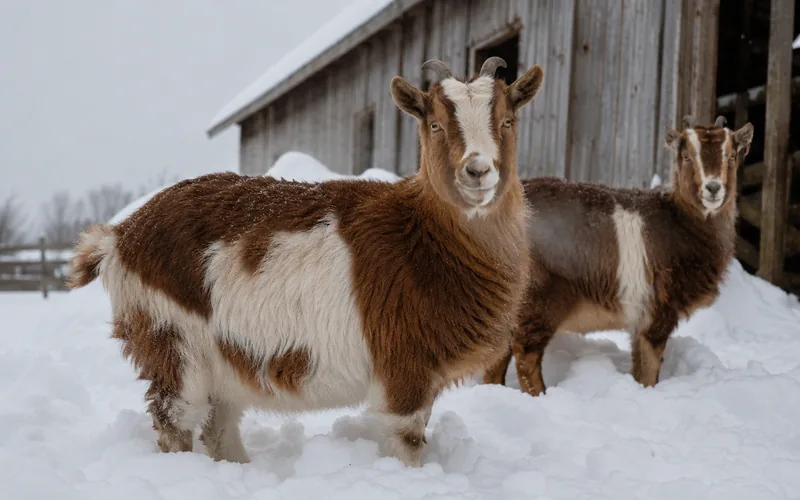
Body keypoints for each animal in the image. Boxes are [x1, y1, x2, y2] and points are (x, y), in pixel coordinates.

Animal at [67, 57, 545, 467]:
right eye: (435, 124)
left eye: (507, 120)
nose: (477, 171)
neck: (421, 236)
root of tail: (119, 235)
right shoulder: (403, 364)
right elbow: (406, 440)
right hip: (172, 337)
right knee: (174, 419)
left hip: (223, 356)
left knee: (219, 424)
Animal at [482, 116, 754, 396]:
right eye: (687, 156)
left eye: (732, 155)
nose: (713, 188)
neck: (680, 221)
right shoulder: (659, 310)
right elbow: (650, 368)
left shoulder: (640, 316)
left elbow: (639, 365)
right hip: (541, 297)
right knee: (525, 354)